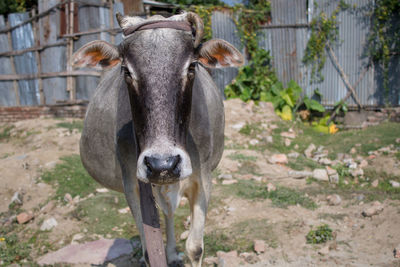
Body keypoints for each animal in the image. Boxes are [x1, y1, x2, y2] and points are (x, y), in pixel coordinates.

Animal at [72, 11, 244, 266]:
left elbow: (195, 248)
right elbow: (148, 251)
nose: (162, 164)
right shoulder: (132, 185)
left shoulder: (203, 179)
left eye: (191, 66)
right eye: (126, 71)